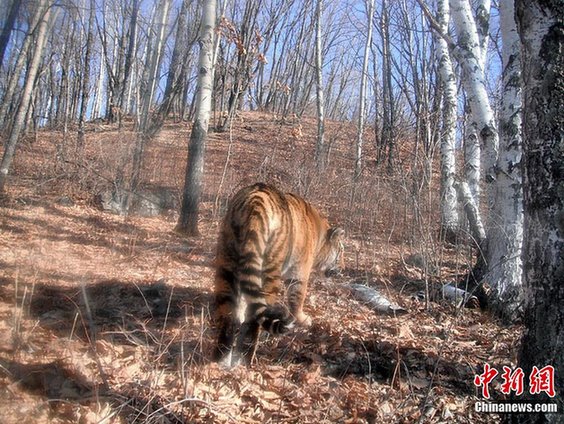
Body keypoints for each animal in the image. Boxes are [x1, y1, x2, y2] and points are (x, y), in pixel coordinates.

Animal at [213, 184, 342, 366]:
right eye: (341, 252)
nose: (342, 268)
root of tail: (254, 202)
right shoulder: (298, 274)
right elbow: (298, 299)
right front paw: (303, 319)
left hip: (227, 262)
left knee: (228, 313)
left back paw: (222, 359)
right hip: (268, 272)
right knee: (255, 316)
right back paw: (246, 359)